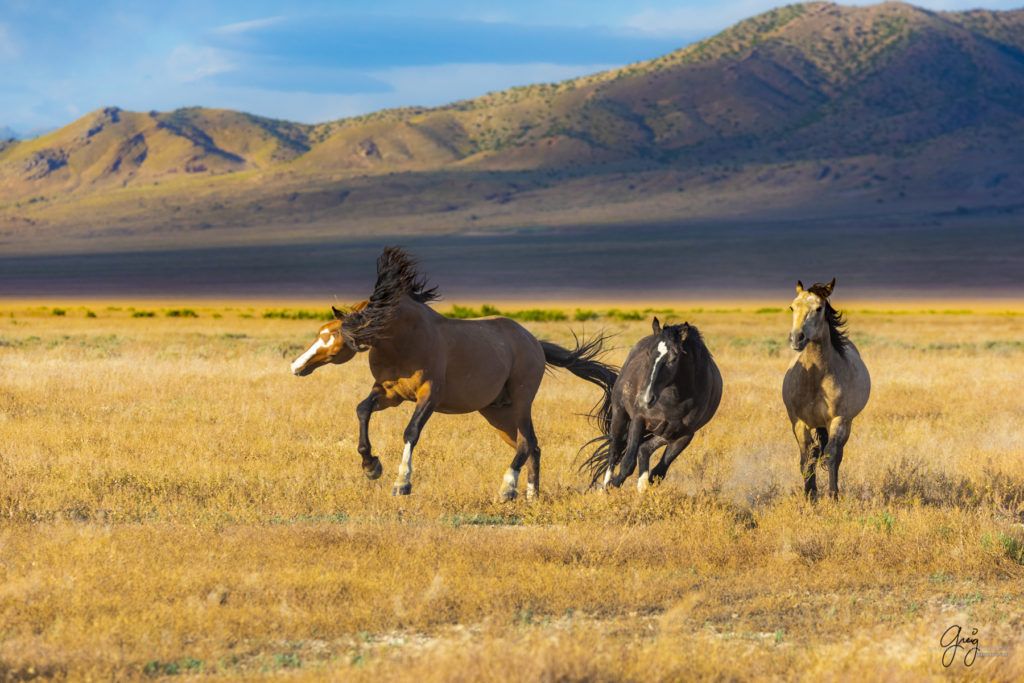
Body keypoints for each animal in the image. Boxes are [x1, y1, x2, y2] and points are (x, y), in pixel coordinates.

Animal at [292, 248, 618, 499]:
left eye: (335, 337)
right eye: (321, 332)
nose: (297, 365)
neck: (404, 339)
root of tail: (534, 342)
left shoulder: (429, 396)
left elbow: (411, 431)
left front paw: (402, 482)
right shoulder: (389, 394)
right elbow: (362, 410)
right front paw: (371, 465)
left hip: (522, 401)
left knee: (526, 443)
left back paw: (507, 489)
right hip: (496, 412)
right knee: (532, 447)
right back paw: (530, 496)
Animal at [782, 278, 872, 501]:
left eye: (819, 308)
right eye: (792, 307)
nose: (796, 338)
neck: (816, 379)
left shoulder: (837, 420)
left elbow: (831, 455)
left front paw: (832, 495)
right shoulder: (799, 422)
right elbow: (807, 458)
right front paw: (809, 495)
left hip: (846, 424)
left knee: (837, 454)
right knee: (814, 453)